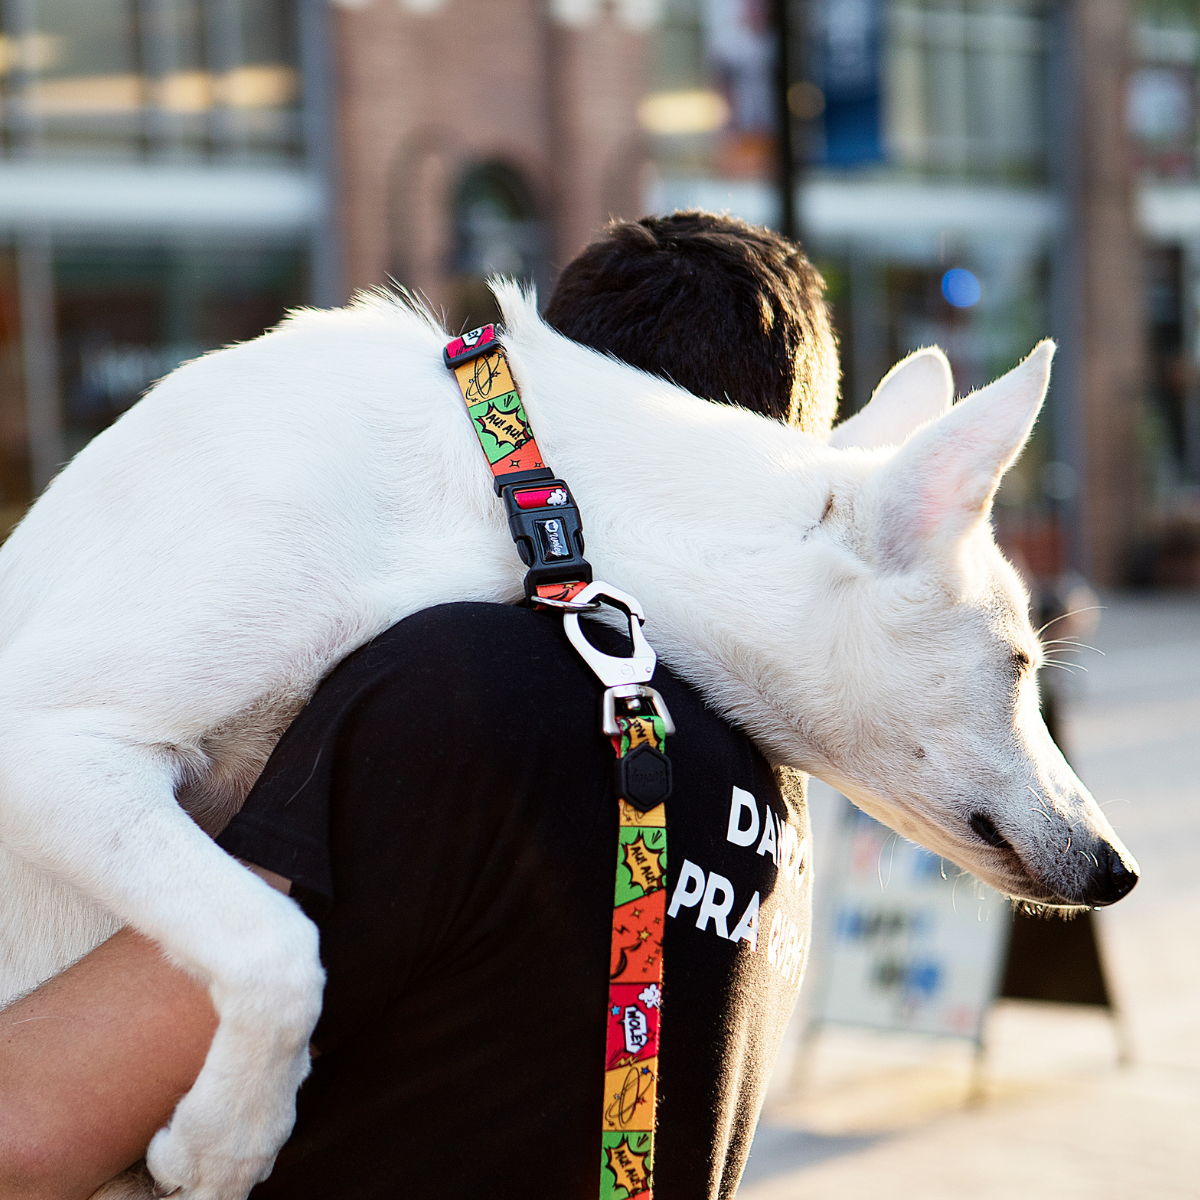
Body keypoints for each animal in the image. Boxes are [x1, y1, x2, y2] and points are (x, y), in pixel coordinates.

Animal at [0, 283, 1132, 1200]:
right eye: (1019, 664)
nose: (1118, 869)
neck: (518, 493)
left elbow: (276, 941)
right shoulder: (47, 747)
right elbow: (279, 943)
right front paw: (226, 1141)